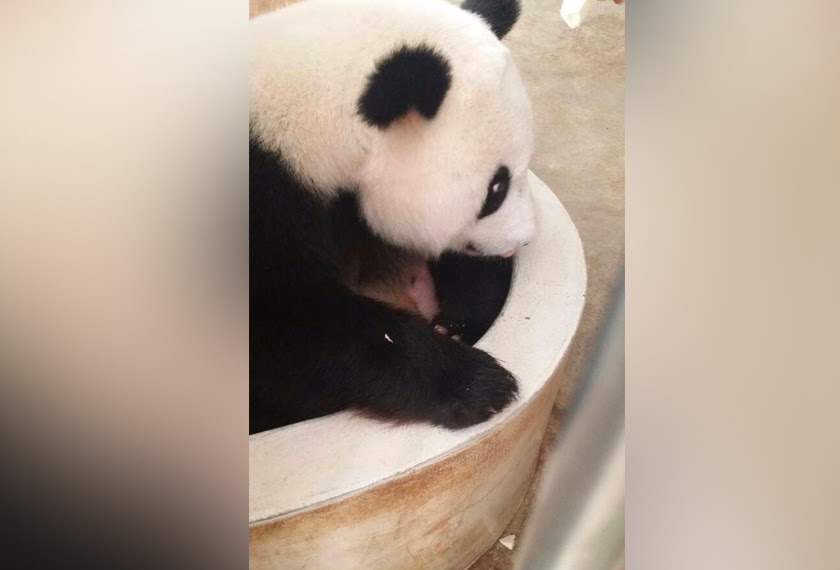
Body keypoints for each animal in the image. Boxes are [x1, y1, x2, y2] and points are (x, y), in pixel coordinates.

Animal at [250, 0, 536, 434]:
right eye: (496, 188)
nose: (523, 239)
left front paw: (458, 322)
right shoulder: (257, 199)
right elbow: (282, 332)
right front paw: (476, 384)